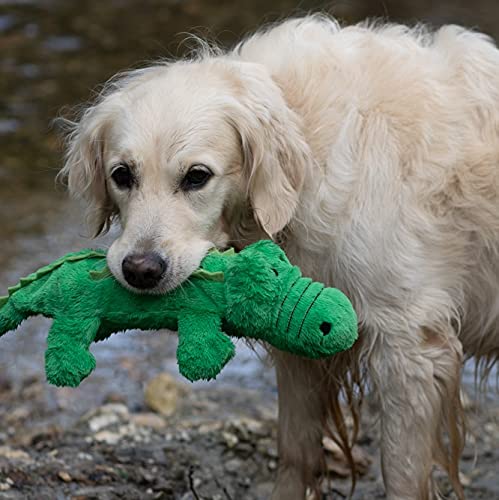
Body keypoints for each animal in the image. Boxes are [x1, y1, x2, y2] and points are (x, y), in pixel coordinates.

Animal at [60, 13, 499, 498]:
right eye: (122, 175)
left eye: (197, 176)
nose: (140, 270)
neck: (311, 147)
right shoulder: (306, 335)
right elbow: (294, 449)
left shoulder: (408, 344)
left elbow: (401, 471)